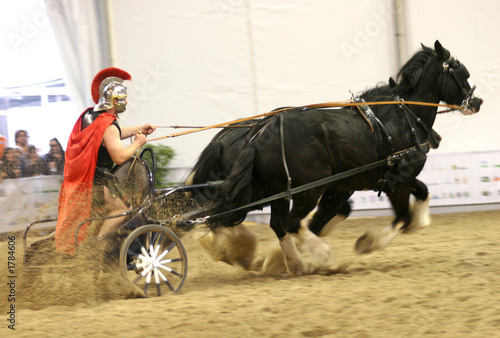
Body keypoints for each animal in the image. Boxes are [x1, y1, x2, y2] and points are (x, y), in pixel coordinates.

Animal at [196, 41, 484, 274]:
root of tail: (260, 134)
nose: (477, 102)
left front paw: (419, 222)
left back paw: (296, 263)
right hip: (307, 190)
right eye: (462, 73)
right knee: (291, 223)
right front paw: (368, 243)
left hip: (280, 191)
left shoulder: (389, 178)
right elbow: (402, 218)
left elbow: (422, 194)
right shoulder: (395, 182)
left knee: (278, 225)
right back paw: (324, 257)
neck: (405, 117)